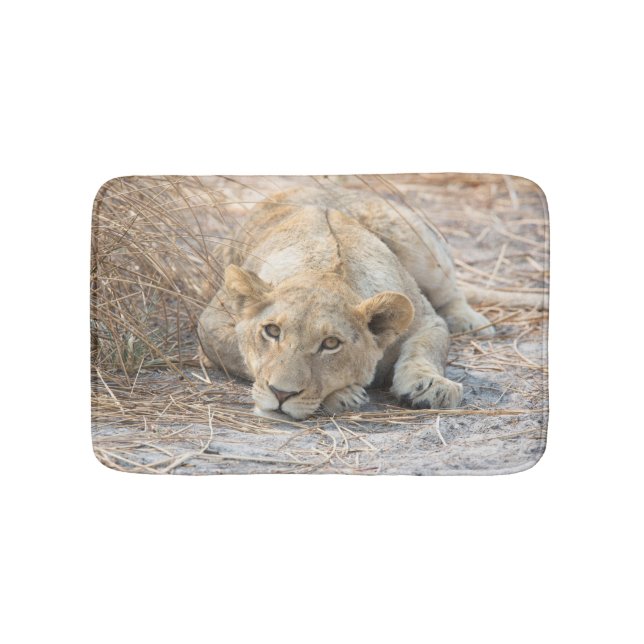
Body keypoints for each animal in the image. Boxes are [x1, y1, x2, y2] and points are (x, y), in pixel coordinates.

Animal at [197, 185, 494, 420]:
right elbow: (238, 354)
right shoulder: (210, 323)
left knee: (450, 290)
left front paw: (432, 386)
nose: (281, 393)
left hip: (417, 245)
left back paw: (470, 321)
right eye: (272, 331)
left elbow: (427, 348)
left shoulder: (427, 320)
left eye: (331, 344)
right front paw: (343, 395)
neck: (326, 268)